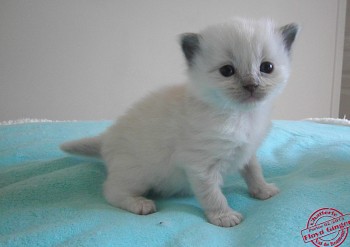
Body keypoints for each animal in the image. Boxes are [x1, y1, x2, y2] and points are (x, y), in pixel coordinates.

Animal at [60, 18, 298, 228]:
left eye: (267, 67)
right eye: (227, 71)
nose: (251, 85)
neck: (240, 115)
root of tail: (106, 138)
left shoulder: (247, 152)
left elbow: (254, 172)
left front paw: (263, 190)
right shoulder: (201, 166)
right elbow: (213, 195)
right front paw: (224, 217)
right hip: (137, 175)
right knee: (111, 191)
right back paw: (140, 204)